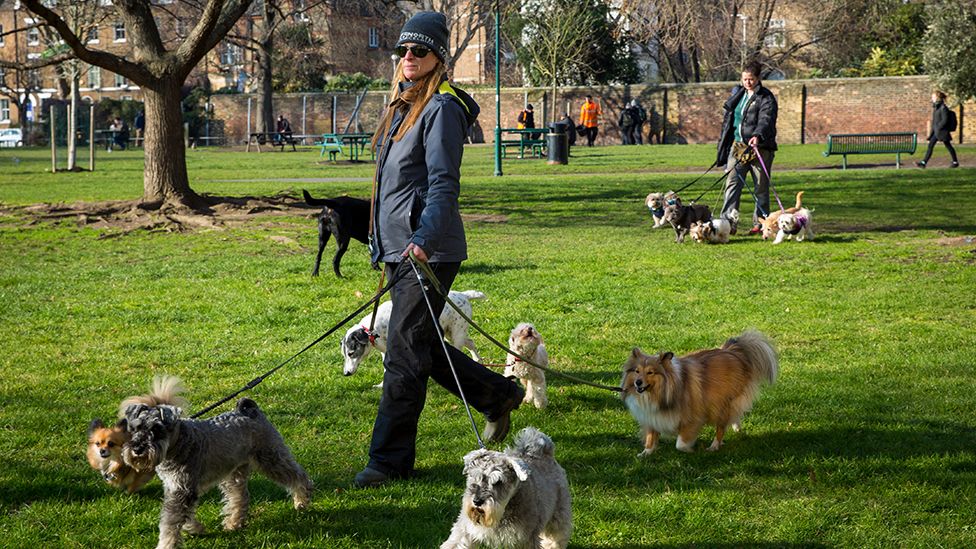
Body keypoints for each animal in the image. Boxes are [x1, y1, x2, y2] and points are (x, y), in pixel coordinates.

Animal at [340, 288, 484, 378]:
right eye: (344, 355)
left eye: (351, 353)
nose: (346, 373)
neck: (372, 328)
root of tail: (464, 295)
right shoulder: (384, 351)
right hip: (452, 333)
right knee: (470, 342)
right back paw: (478, 360)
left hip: (456, 334)